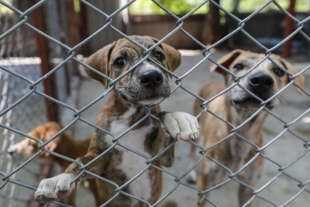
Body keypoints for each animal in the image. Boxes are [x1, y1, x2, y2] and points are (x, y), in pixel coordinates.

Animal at [33, 36, 199, 206]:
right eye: (120, 61)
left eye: (159, 55)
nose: (151, 76)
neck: (132, 117)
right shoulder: (100, 156)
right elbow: (81, 163)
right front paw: (58, 179)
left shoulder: (161, 157)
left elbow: (162, 119)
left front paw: (178, 118)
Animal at [189, 50, 306, 207]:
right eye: (239, 66)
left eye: (278, 71)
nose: (262, 80)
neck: (242, 132)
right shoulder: (204, 183)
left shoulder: (248, 186)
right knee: (191, 152)